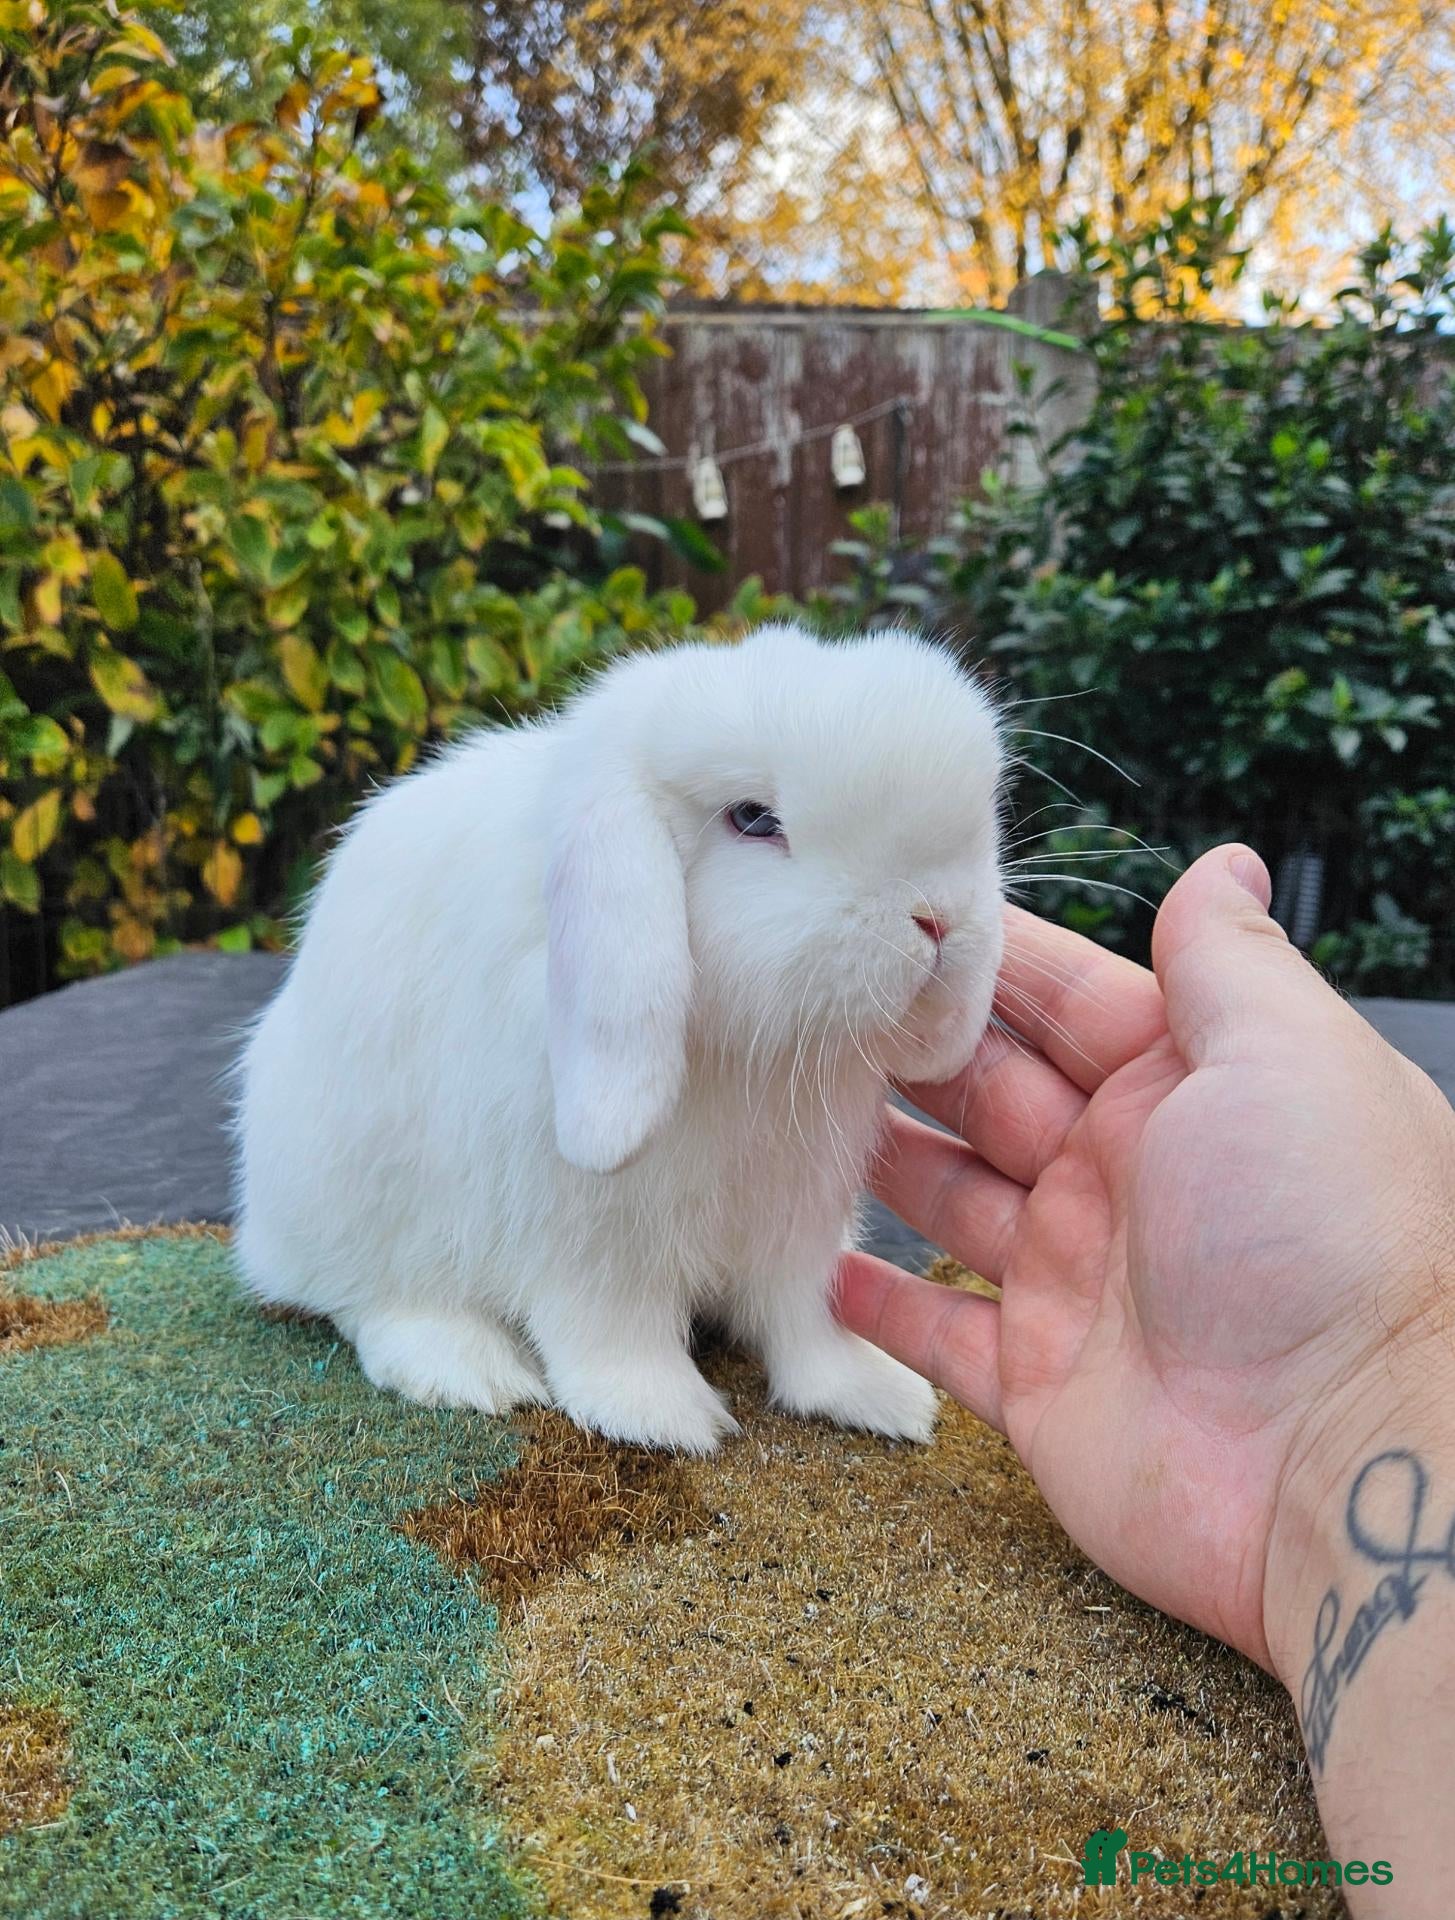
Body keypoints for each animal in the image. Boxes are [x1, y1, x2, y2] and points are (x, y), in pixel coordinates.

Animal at [232, 623, 1004, 1453]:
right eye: (753, 819)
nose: (937, 918)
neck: (751, 1058)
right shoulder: (592, 1234)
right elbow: (614, 1327)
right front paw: (660, 1416)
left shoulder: (798, 1218)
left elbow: (806, 1318)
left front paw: (873, 1392)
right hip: (360, 1198)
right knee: (371, 1298)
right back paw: (470, 1371)